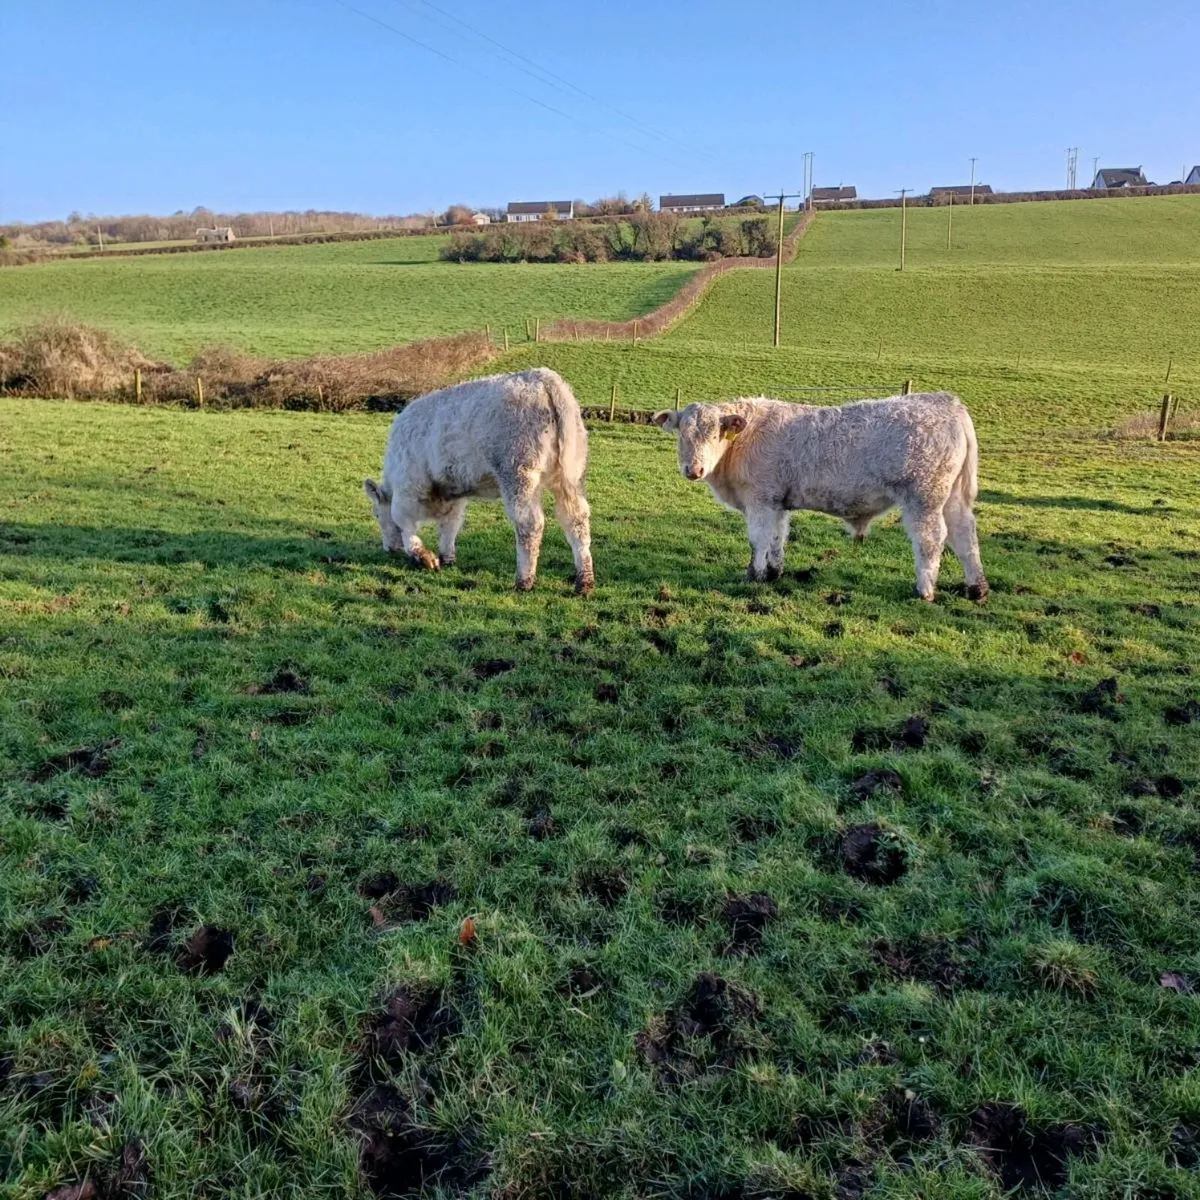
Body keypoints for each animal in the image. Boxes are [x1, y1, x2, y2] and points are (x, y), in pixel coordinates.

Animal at [364, 368, 594, 594]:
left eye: (376, 515)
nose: (389, 549)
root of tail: (542, 377)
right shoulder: (453, 495)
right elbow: (449, 526)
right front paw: (447, 558)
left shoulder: (408, 487)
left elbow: (405, 525)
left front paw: (423, 557)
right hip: (570, 476)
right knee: (576, 520)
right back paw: (584, 582)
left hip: (518, 474)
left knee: (530, 525)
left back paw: (524, 581)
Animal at [652, 392, 987, 602]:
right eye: (682, 434)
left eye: (714, 434)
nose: (694, 469)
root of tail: (946, 401)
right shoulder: (778, 503)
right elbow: (778, 538)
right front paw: (774, 572)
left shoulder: (760, 501)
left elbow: (758, 540)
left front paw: (754, 575)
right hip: (952, 499)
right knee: (965, 536)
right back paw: (977, 588)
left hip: (924, 497)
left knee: (932, 540)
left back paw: (925, 590)